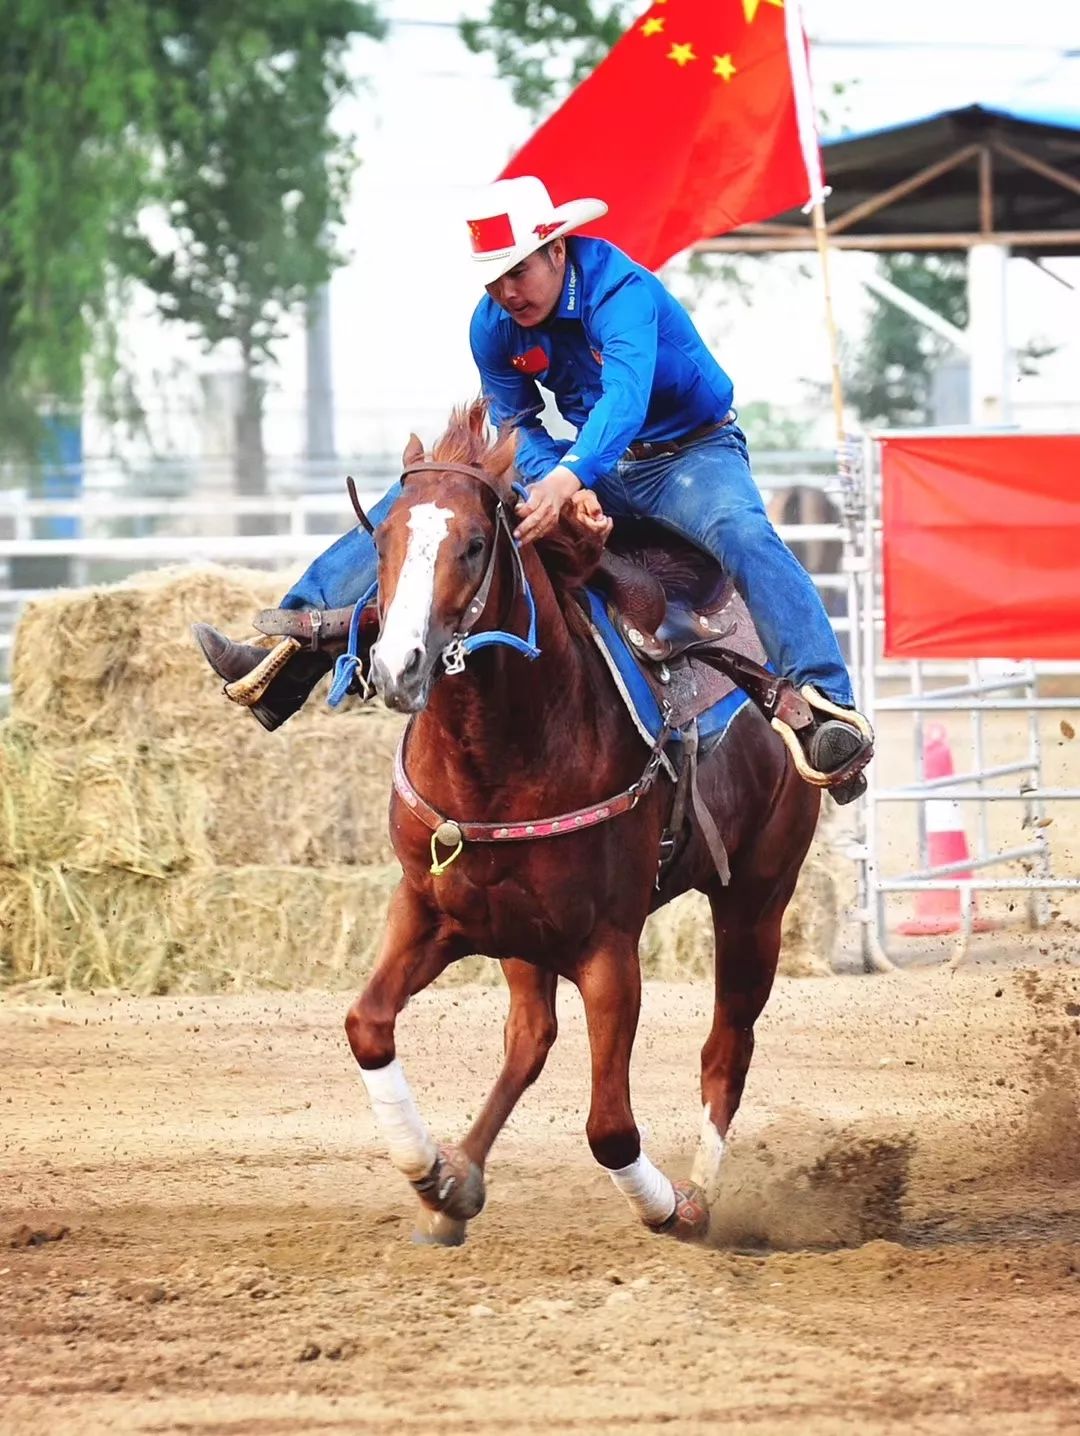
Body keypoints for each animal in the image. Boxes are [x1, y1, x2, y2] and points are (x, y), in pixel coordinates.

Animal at [346, 402, 815, 1246]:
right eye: (382, 539)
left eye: (474, 543)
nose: (400, 667)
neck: (500, 755)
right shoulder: (430, 909)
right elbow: (368, 1025)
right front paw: (430, 1172)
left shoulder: (608, 949)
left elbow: (611, 1129)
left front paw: (670, 1209)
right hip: (520, 935)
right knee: (530, 1037)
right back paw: (459, 1180)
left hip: (757, 901)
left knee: (727, 1048)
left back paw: (699, 1196)